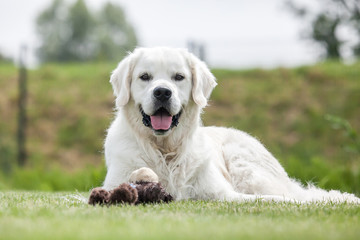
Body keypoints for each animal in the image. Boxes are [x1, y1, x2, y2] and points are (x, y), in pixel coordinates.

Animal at [101, 46, 360, 202]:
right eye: (144, 77)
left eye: (179, 77)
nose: (163, 92)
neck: (166, 151)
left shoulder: (223, 194)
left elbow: (269, 201)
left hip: (246, 168)